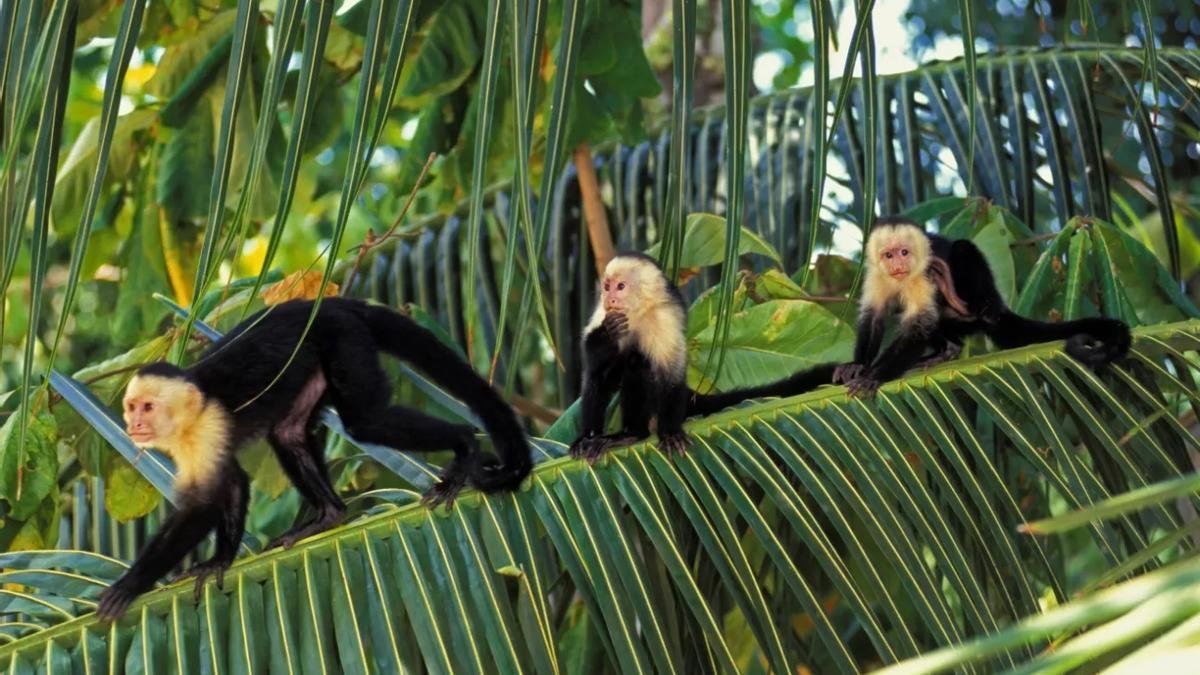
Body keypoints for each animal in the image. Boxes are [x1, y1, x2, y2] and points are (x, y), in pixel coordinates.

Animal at [95, 297, 531, 621]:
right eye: (131, 406)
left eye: (148, 407)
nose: (133, 424)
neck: (191, 410)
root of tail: (330, 303)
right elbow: (232, 480)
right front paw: (219, 560)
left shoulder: (207, 427)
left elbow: (204, 505)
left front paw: (131, 584)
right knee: (287, 434)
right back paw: (328, 515)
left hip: (345, 340)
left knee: (365, 422)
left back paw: (465, 446)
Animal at [569, 252, 837, 463]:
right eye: (607, 287)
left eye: (621, 287)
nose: (610, 298)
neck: (638, 313)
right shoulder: (603, 313)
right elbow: (593, 363)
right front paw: (608, 334)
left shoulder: (664, 319)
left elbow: (671, 375)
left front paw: (670, 433)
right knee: (605, 372)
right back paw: (601, 437)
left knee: (638, 363)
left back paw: (633, 432)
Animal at [833, 216, 1131, 397]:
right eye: (889, 254)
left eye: (904, 252)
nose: (898, 264)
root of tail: (998, 307)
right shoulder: (876, 276)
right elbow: (874, 318)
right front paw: (857, 366)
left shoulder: (922, 274)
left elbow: (919, 325)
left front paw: (875, 375)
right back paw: (946, 350)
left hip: (983, 297)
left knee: (963, 250)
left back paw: (959, 300)